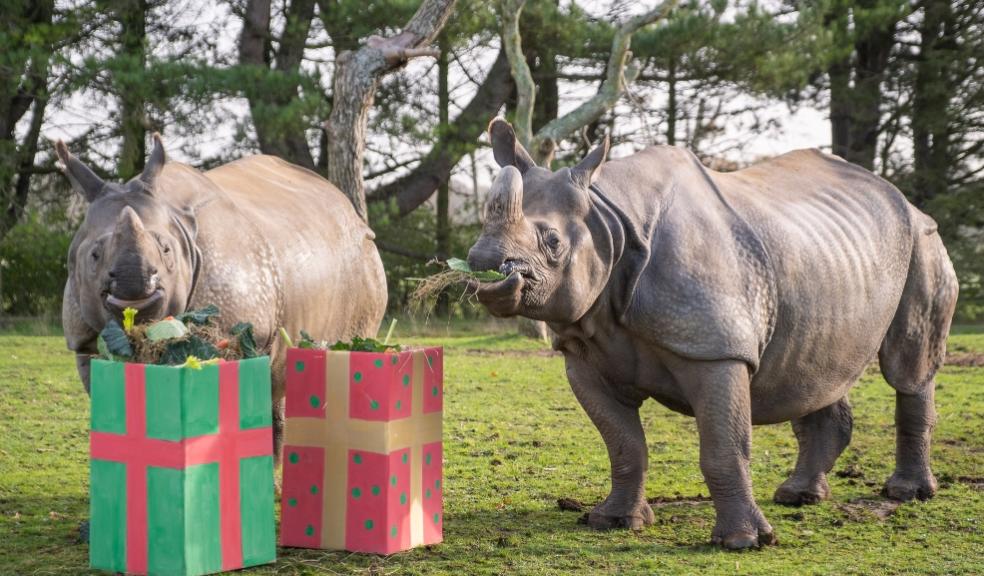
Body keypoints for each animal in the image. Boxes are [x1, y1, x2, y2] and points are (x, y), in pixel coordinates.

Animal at [55, 133, 388, 462]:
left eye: (166, 251)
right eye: (94, 255)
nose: (136, 295)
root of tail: (351, 212)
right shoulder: (85, 342)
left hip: (364, 261)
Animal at [466, 119, 956, 552]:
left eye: (552, 242)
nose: (483, 263)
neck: (609, 221)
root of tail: (901, 197)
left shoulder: (715, 349)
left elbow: (724, 445)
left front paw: (743, 543)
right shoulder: (584, 354)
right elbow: (623, 443)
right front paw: (614, 521)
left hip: (922, 239)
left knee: (908, 368)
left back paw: (906, 493)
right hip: (827, 259)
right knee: (817, 370)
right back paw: (798, 496)